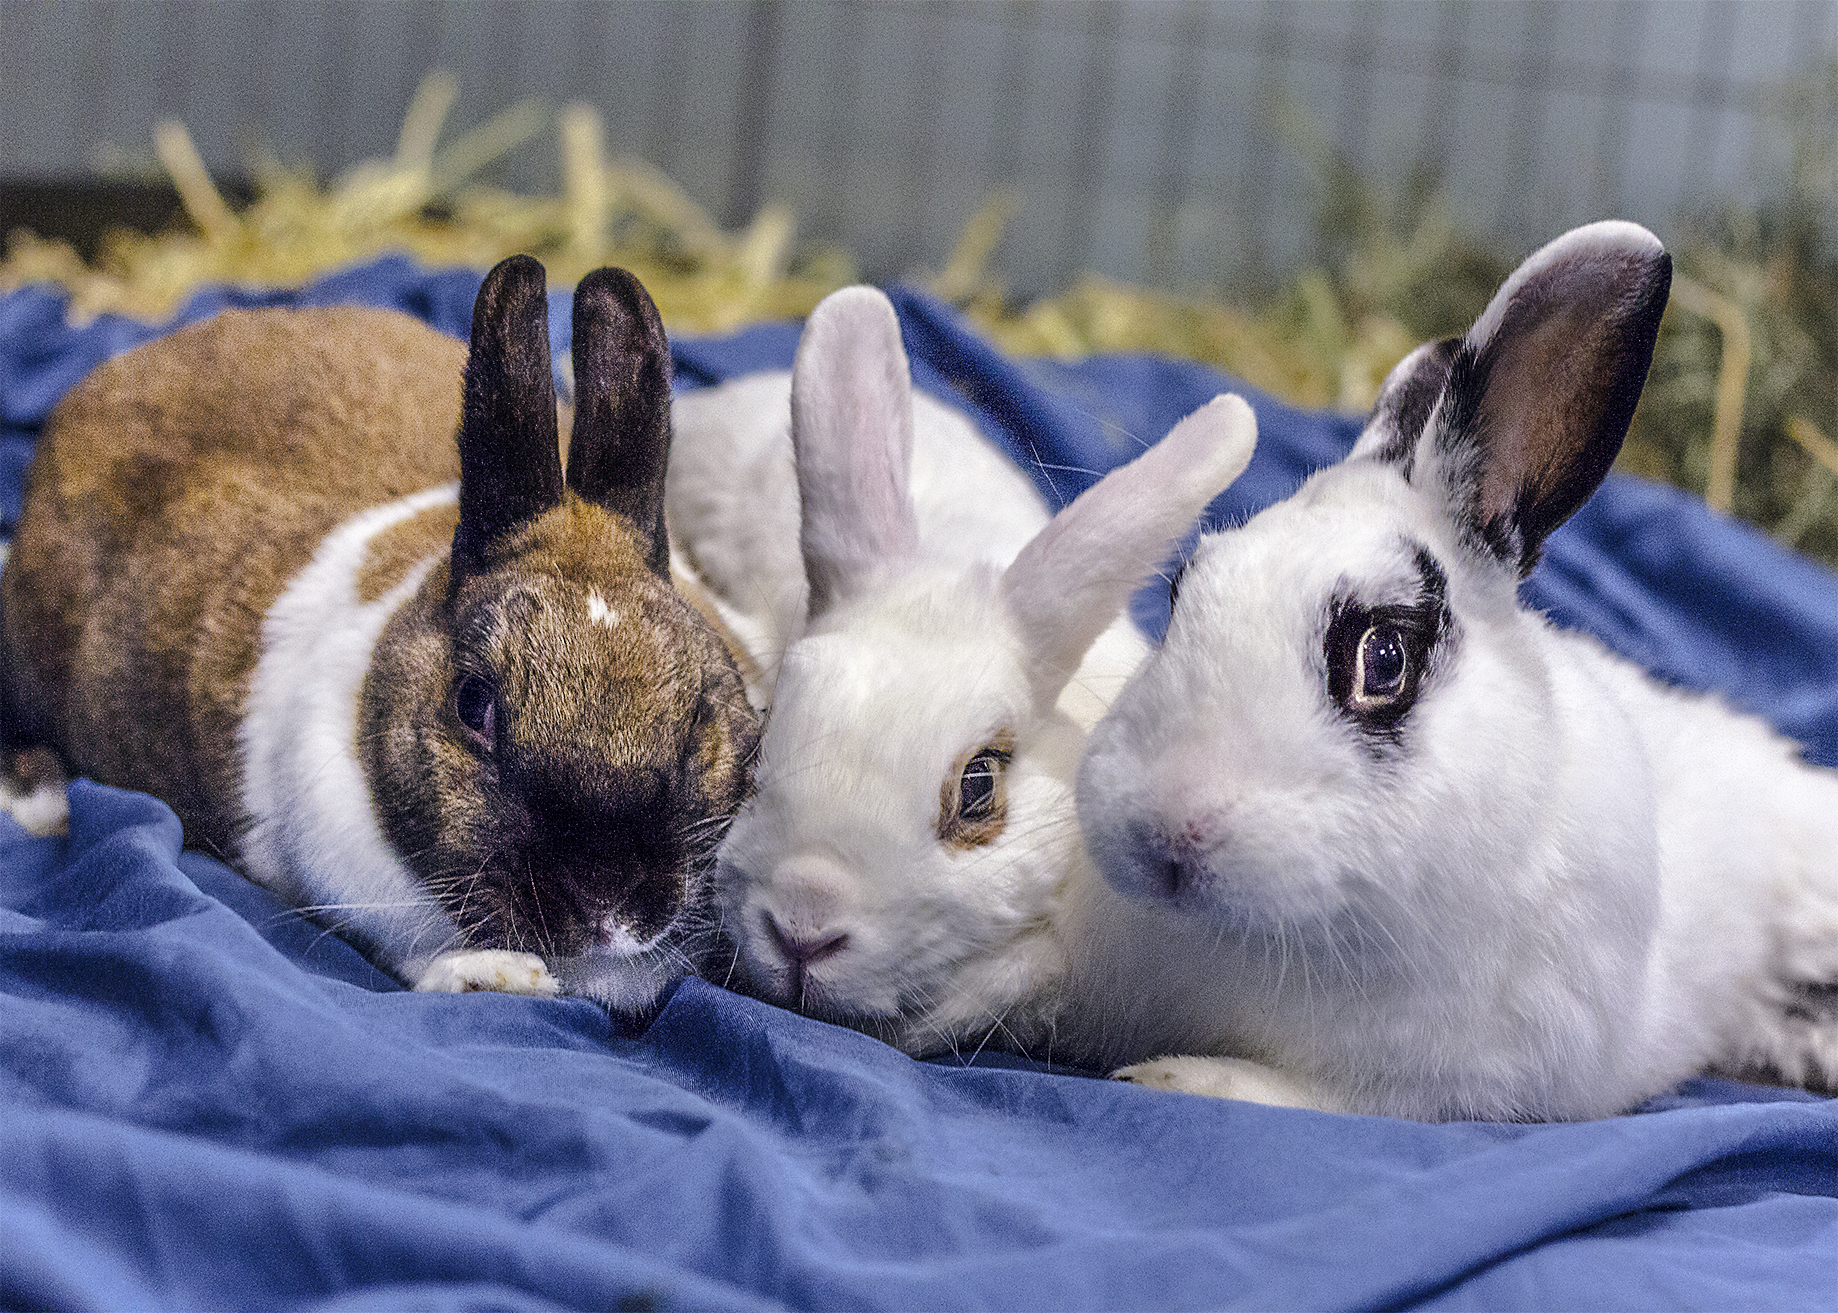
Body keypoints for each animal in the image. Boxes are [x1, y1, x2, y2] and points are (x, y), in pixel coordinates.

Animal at [1076, 220, 1838, 1121]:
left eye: (1384, 659)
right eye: (1182, 590)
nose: (1163, 836)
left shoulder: (1468, 1074)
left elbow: (1327, 1095)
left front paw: (1177, 1076)